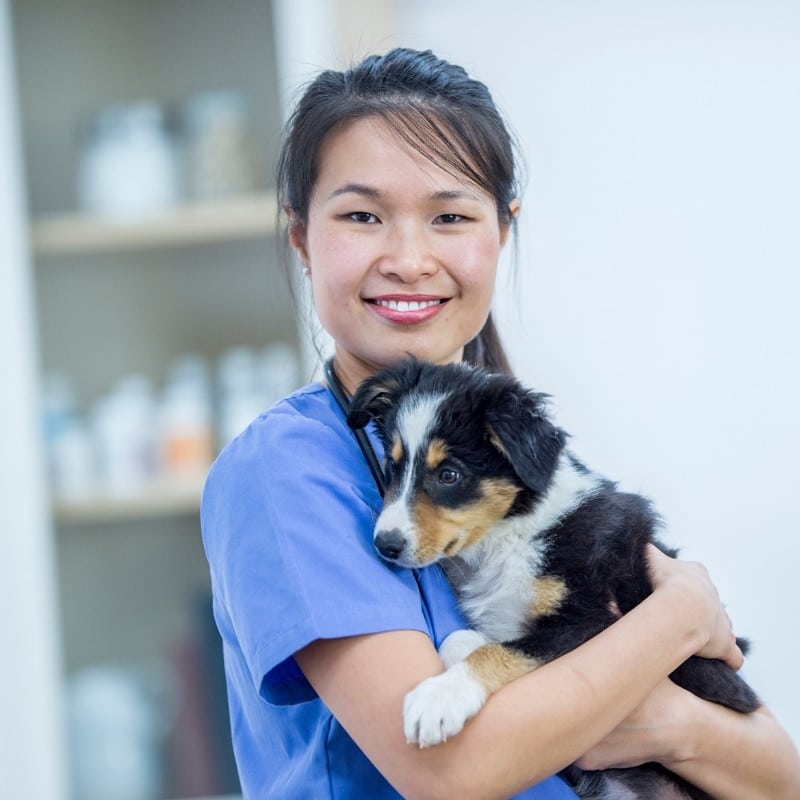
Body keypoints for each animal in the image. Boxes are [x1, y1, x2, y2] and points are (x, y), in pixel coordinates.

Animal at [346, 360, 760, 800]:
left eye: (449, 474)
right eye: (392, 465)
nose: (384, 544)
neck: (510, 533)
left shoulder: (595, 621)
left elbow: (503, 650)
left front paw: (439, 699)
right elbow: (463, 639)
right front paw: (464, 651)